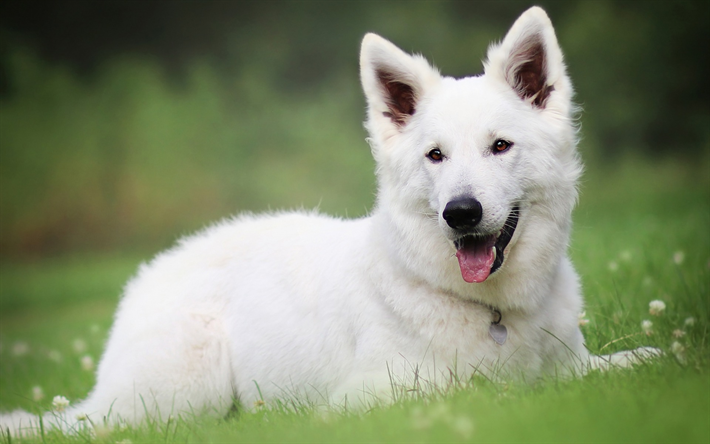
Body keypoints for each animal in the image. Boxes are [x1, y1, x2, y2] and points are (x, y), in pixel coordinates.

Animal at [0, 6, 660, 438]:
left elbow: (642, 359)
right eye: (436, 156)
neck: (492, 312)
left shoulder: (580, 365)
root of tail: (152, 271)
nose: (460, 213)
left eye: (500, 146)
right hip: (179, 394)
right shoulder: (379, 396)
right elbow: (489, 387)